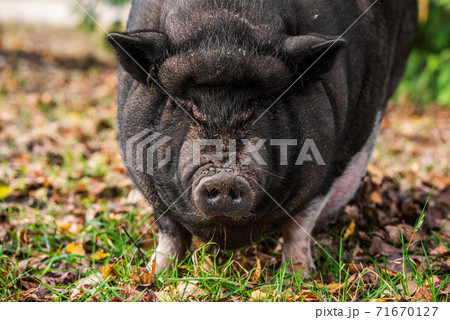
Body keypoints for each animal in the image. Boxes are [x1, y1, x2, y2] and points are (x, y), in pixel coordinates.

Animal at [107, 0, 416, 272]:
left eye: (260, 103)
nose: (224, 177)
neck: (223, 26)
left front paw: (300, 278)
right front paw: (156, 274)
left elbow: (299, 225)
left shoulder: (330, 163)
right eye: (186, 103)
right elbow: (169, 229)